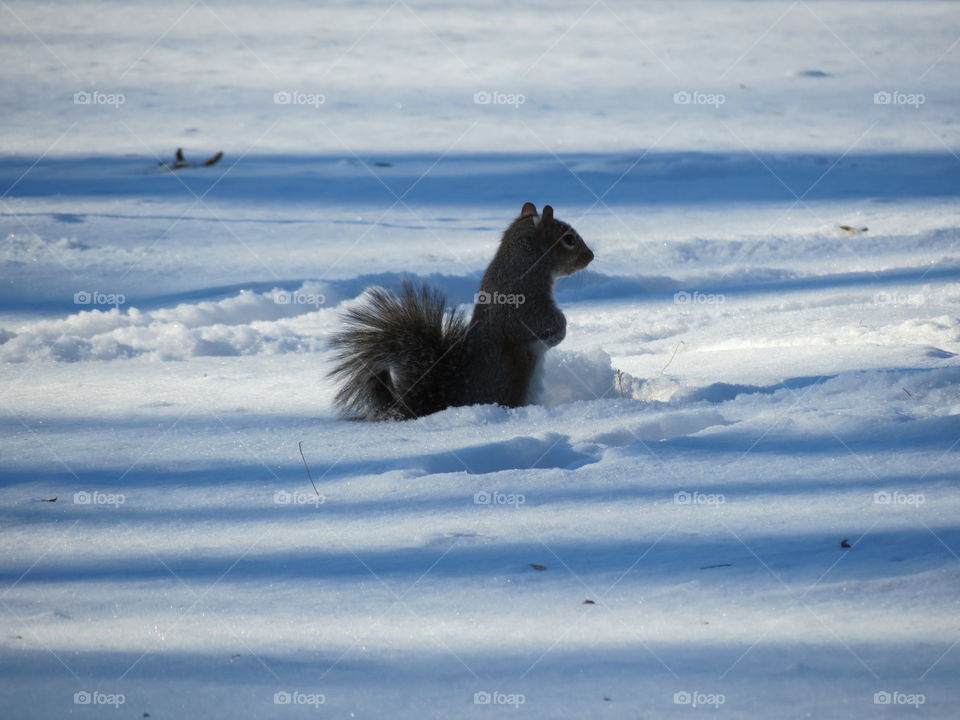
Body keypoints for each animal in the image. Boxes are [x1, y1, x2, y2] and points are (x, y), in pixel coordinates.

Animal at [330, 202, 592, 420]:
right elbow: (541, 324)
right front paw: (561, 331)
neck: (524, 263)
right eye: (569, 239)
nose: (590, 256)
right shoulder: (526, 304)